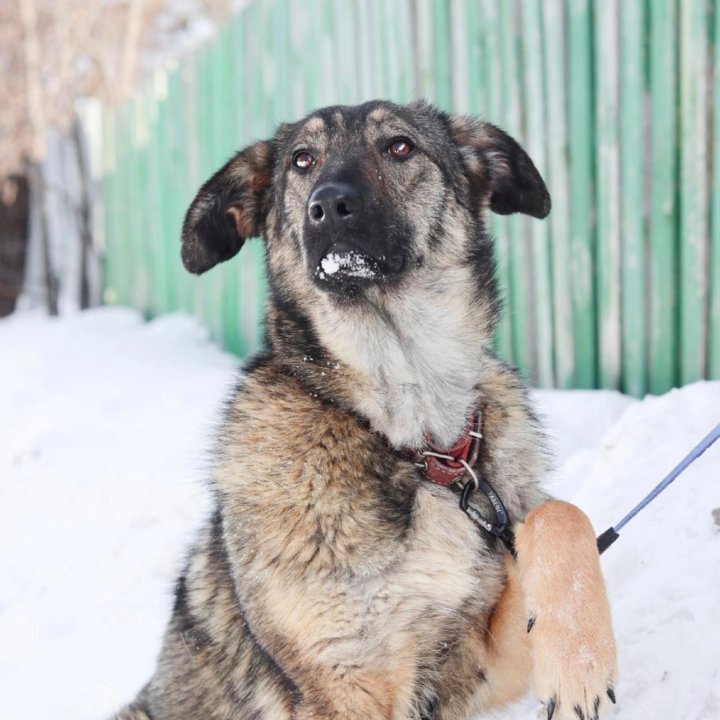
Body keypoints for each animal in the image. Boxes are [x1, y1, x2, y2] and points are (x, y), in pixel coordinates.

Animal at [114, 101, 620, 720]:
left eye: (399, 147)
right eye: (302, 160)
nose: (328, 204)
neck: (419, 440)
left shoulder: (484, 667)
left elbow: (561, 515)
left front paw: (580, 662)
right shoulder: (346, 683)